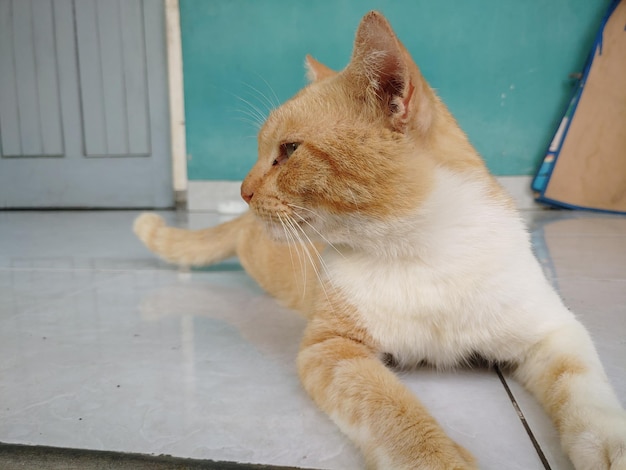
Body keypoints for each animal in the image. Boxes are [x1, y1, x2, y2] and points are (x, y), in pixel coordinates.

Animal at [133, 11, 624, 470]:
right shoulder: (332, 349)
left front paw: (609, 447)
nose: (243, 190)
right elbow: (391, 408)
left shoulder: (554, 331)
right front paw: (438, 458)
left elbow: (586, 392)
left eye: (289, 151)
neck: (420, 254)